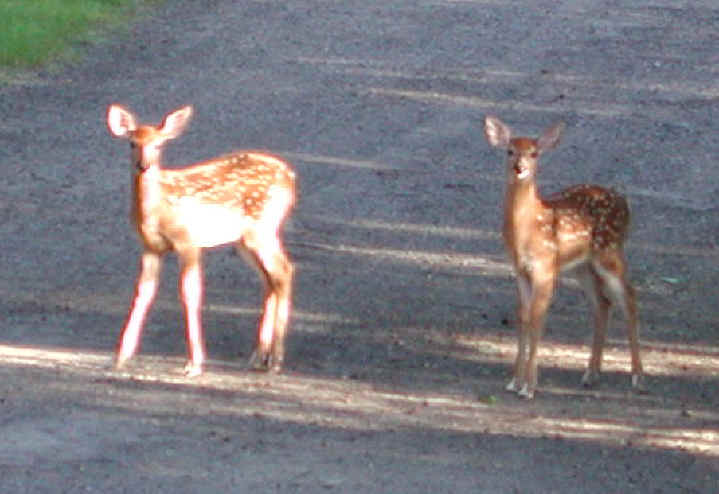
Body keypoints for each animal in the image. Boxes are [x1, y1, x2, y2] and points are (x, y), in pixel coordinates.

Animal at [106, 104, 295, 377]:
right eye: (132, 143)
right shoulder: (150, 246)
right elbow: (144, 292)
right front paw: (121, 356)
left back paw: (276, 360)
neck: (156, 210)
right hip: (245, 240)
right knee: (270, 278)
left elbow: (190, 293)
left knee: (283, 271)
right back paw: (259, 356)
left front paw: (194, 363)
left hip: (262, 229)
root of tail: (291, 177)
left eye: (159, 145)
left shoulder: (188, 241)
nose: (144, 165)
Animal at [483, 115, 644, 399]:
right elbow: (523, 316)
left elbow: (537, 317)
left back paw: (637, 376)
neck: (527, 230)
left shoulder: (545, 266)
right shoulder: (520, 270)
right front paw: (515, 381)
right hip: (583, 267)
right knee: (603, 303)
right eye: (509, 151)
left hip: (609, 250)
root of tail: (626, 204)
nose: (519, 168)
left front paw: (529, 386)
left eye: (534, 153)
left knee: (629, 296)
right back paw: (591, 374)